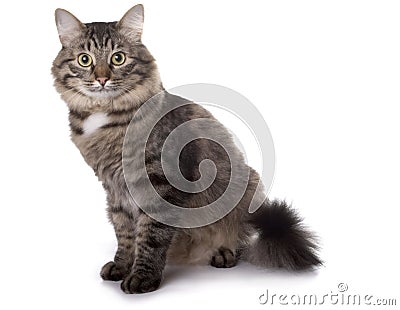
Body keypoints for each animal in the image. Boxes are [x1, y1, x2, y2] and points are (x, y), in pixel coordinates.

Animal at [52, 5, 322, 296]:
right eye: (84, 60)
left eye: (118, 58)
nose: (102, 79)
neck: (106, 117)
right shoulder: (114, 188)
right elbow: (124, 232)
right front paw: (122, 265)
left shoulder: (161, 182)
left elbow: (151, 236)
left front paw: (143, 277)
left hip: (248, 186)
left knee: (240, 237)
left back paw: (224, 253)